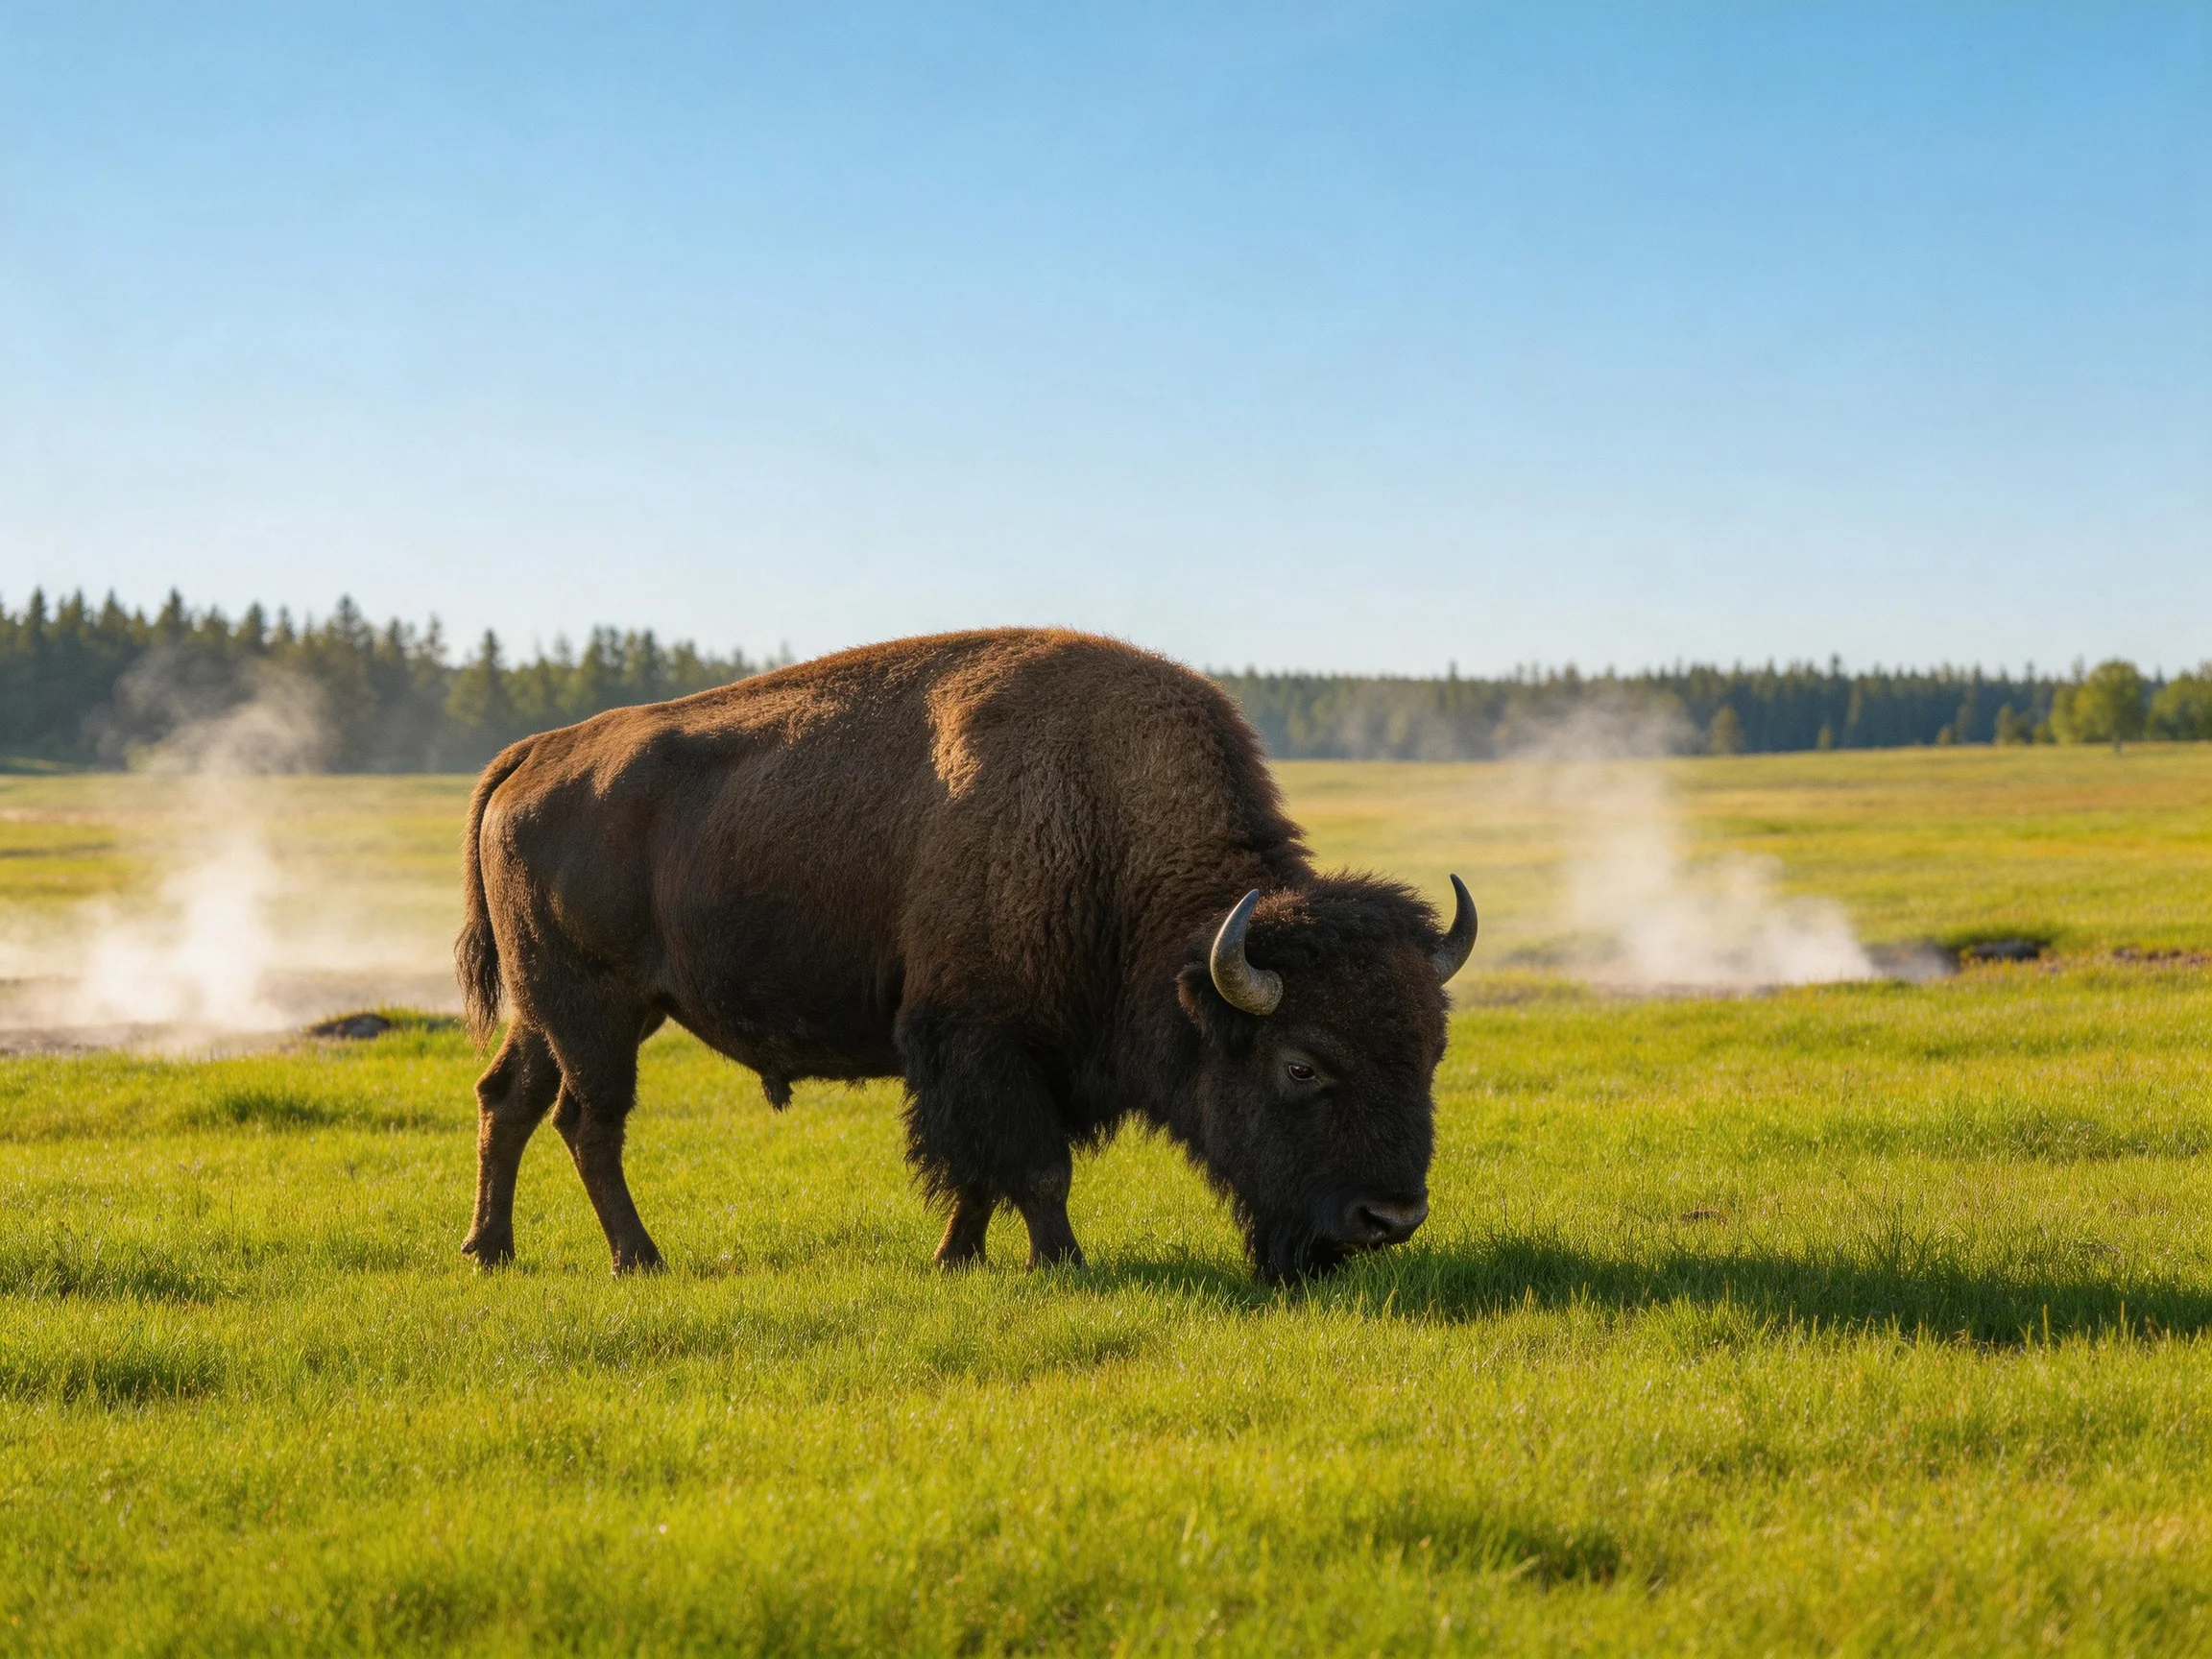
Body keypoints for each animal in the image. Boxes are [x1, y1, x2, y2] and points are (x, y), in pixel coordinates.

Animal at [455, 628, 1475, 1281]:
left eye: (1431, 1052)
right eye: (1301, 1064)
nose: (1392, 1218)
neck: (1101, 826)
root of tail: (534, 755)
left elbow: (985, 1174)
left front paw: (957, 1258)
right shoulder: (984, 1043)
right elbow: (1032, 1166)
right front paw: (1064, 1265)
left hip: (557, 1012)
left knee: (509, 1100)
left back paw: (491, 1252)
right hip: (595, 1010)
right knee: (588, 1122)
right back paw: (641, 1260)